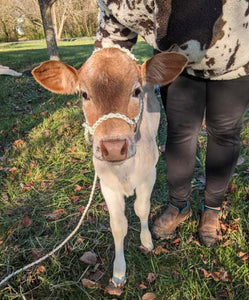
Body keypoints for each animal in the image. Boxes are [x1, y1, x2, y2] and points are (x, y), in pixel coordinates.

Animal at [31, 48, 187, 288]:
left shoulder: (149, 174)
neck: (124, 170)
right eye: (84, 94)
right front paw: (119, 272)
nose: (113, 147)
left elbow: (142, 209)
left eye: (136, 91)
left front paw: (146, 241)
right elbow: (118, 225)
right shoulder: (107, 184)